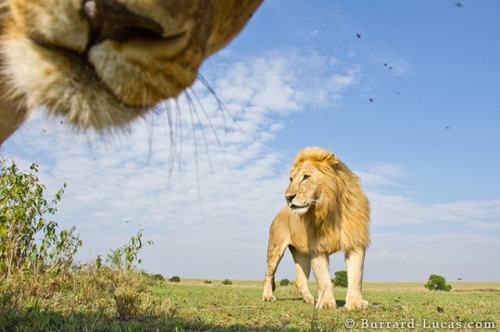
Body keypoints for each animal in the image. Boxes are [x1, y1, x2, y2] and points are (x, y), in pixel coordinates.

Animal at [264, 147, 370, 310]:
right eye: (291, 179)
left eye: (306, 177)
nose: (288, 197)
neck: (329, 210)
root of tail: (279, 213)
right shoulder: (317, 247)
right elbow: (323, 278)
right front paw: (326, 303)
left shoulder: (355, 242)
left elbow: (356, 276)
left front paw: (355, 303)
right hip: (275, 249)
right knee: (268, 275)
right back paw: (268, 296)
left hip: (302, 255)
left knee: (300, 281)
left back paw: (310, 299)